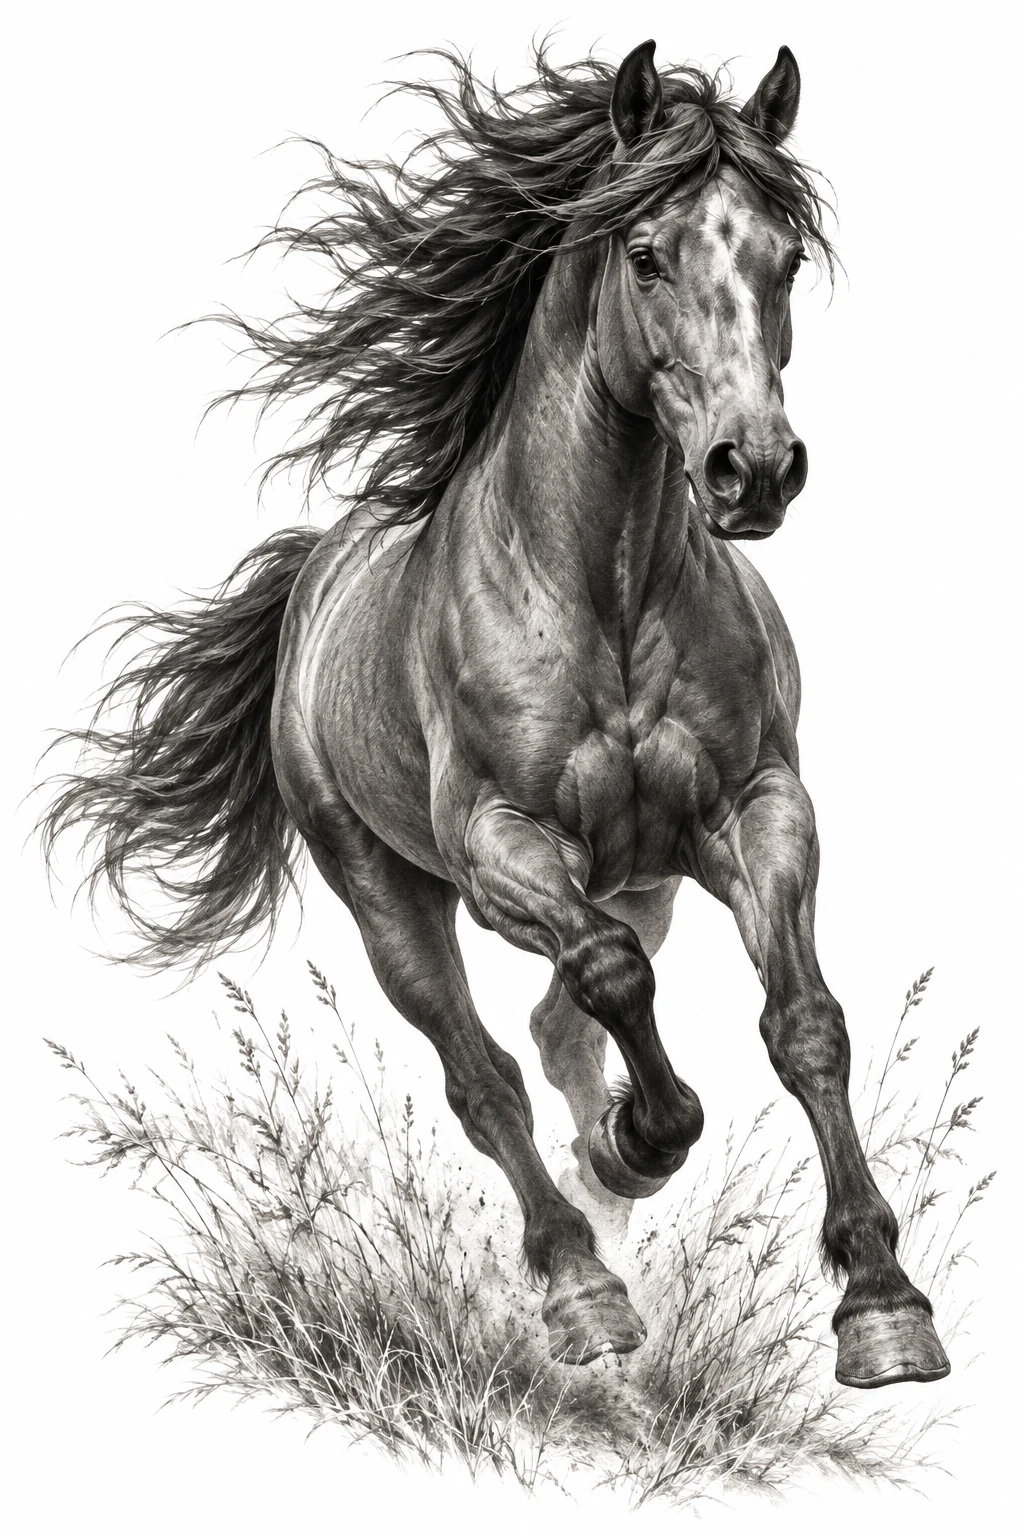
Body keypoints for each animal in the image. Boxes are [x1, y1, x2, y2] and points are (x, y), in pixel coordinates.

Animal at [42, 40, 950, 1389]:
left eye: (784, 257)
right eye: (646, 254)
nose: (754, 471)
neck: (606, 590)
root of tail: (314, 584)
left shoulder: (759, 812)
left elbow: (805, 1026)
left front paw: (882, 1306)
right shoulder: (499, 848)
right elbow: (607, 982)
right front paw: (648, 1136)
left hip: (648, 874)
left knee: (558, 1023)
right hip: (390, 896)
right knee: (490, 1071)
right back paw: (583, 1284)